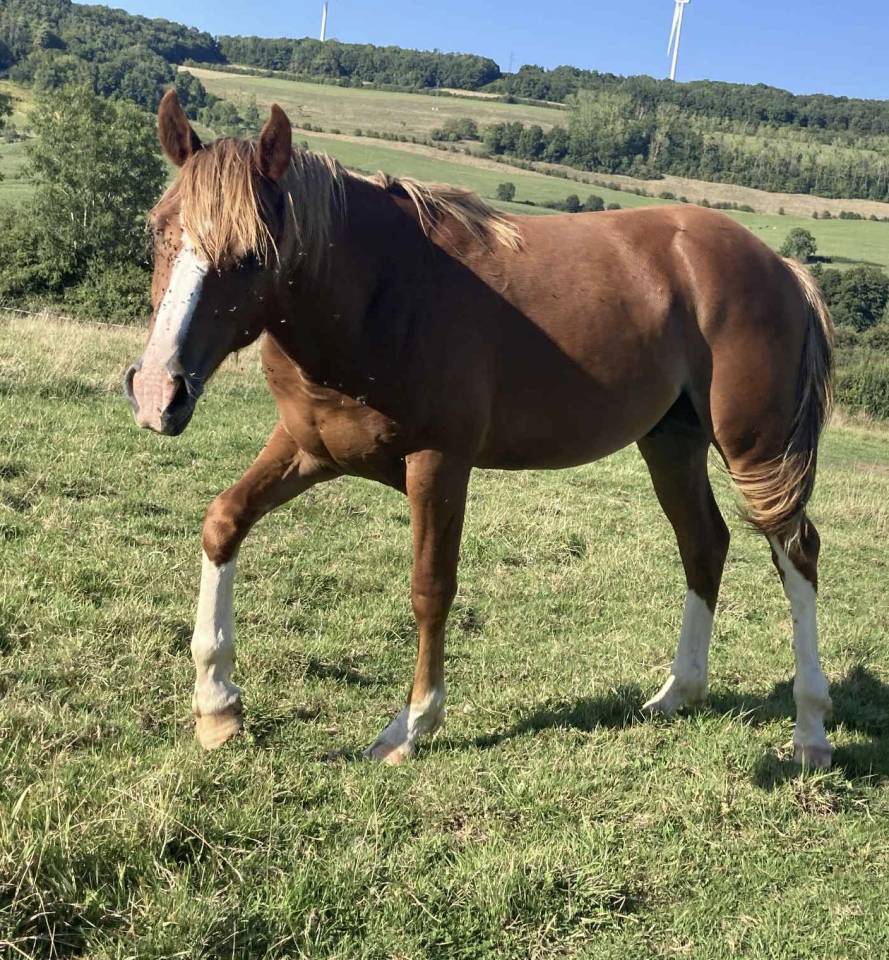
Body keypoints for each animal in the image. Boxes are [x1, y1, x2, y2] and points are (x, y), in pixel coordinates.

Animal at [126, 90, 835, 767]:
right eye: (158, 231)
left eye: (252, 255)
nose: (159, 391)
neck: (380, 294)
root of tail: (780, 265)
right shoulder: (309, 449)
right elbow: (223, 521)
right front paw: (217, 708)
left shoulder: (439, 464)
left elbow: (430, 587)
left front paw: (410, 727)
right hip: (672, 443)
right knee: (704, 544)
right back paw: (677, 693)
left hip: (756, 451)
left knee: (796, 552)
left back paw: (810, 731)